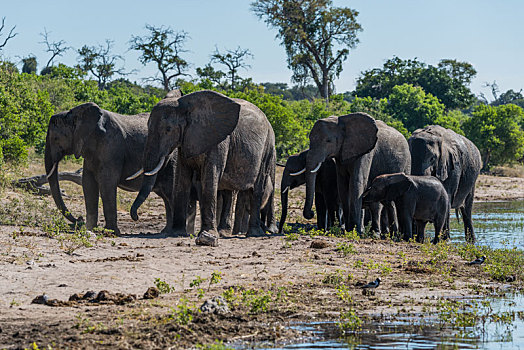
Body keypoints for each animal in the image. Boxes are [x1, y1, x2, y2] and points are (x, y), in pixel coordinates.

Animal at [44, 104, 175, 235]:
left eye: (55, 138)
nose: (79, 219)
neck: (74, 114)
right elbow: (88, 184)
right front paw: (91, 229)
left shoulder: (112, 147)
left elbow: (107, 183)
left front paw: (110, 232)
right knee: (166, 196)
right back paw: (166, 231)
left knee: (169, 193)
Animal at [129, 90, 276, 241]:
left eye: (168, 129)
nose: (136, 217)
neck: (185, 105)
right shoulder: (186, 140)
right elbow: (182, 179)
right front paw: (177, 233)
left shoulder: (218, 141)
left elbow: (209, 178)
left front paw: (208, 234)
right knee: (229, 192)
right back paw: (224, 232)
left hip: (268, 147)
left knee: (257, 187)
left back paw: (253, 233)